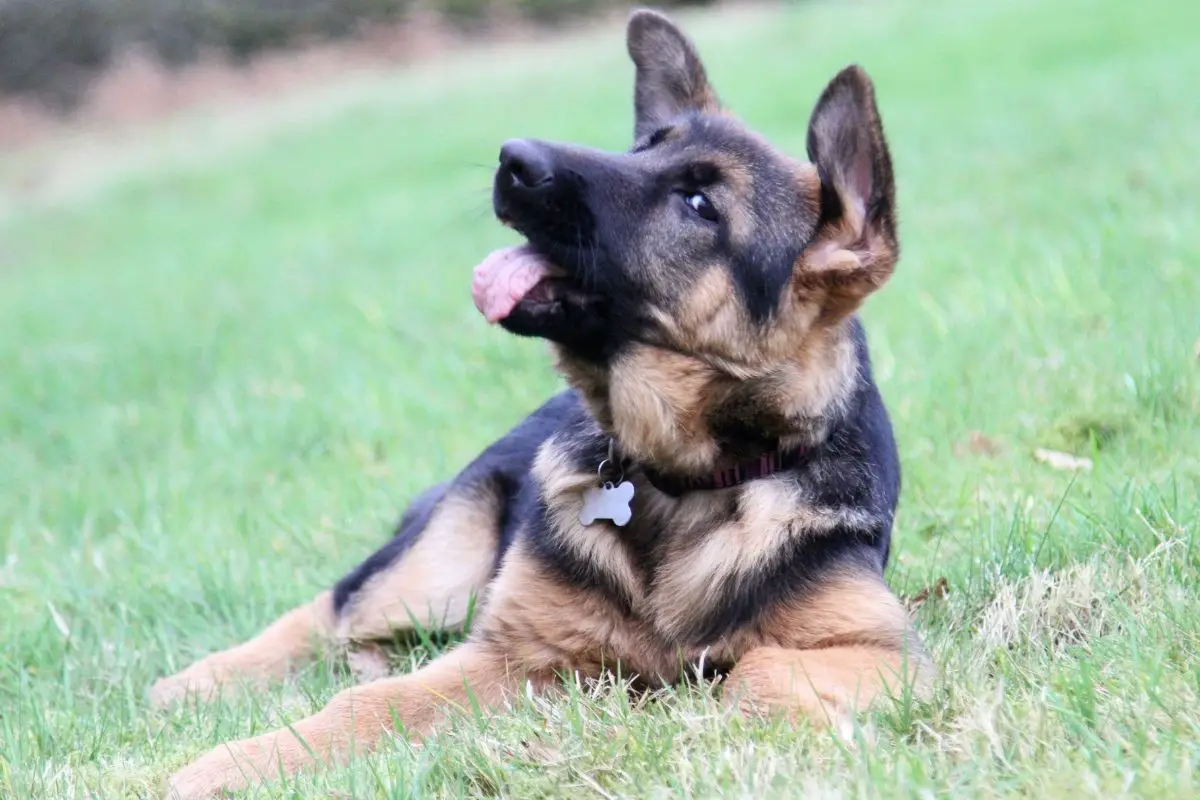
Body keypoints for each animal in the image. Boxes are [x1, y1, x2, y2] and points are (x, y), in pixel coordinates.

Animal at [157, 9, 926, 796]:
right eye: (643, 147)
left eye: (699, 203)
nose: (512, 158)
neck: (683, 480)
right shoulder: (505, 653)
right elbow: (360, 705)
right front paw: (231, 764)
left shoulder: (884, 649)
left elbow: (763, 668)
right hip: (433, 576)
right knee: (333, 607)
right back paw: (200, 681)